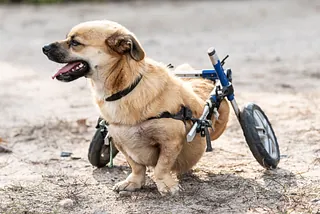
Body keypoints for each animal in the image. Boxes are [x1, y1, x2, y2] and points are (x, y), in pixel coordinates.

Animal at [42, 20, 229, 196]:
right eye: (68, 38)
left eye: (75, 43)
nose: (44, 48)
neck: (125, 89)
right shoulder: (119, 139)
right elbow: (136, 166)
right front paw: (134, 182)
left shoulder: (171, 140)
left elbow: (161, 166)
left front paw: (166, 185)